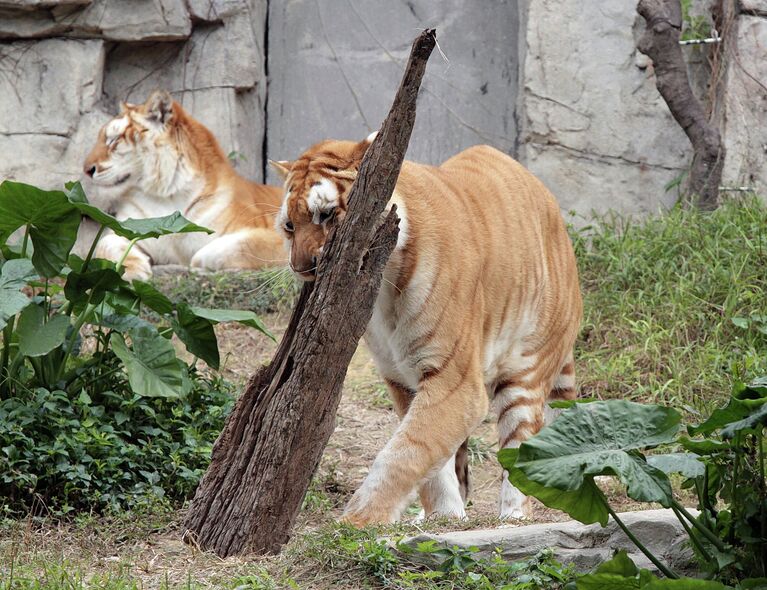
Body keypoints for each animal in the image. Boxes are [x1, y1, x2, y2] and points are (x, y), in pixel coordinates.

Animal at [81, 90, 286, 280]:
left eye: (114, 140)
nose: (86, 169)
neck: (166, 195)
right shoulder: (127, 229)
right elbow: (104, 243)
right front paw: (132, 271)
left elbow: (238, 245)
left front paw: (196, 264)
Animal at [272, 135, 580, 528]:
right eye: (289, 226)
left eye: (324, 215)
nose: (300, 267)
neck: (383, 288)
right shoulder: (403, 379)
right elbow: (428, 459)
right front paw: (443, 516)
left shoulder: (455, 382)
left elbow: (406, 452)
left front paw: (356, 521)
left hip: (527, 372)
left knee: (519, 446)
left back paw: (512, 516)